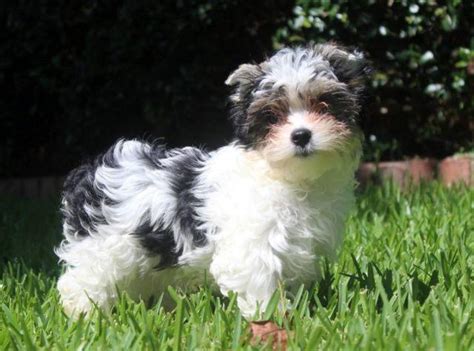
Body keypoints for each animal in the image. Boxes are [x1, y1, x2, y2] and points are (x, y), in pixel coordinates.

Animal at [56, 44, 370, 320]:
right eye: (272, 117)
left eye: (324, 105)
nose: (301, 135)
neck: (289, 176)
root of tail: (90, 171)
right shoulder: (251, 246)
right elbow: (258, 283)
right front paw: (273, 319)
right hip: (102, 247)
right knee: (82, 278)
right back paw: (84, 314)